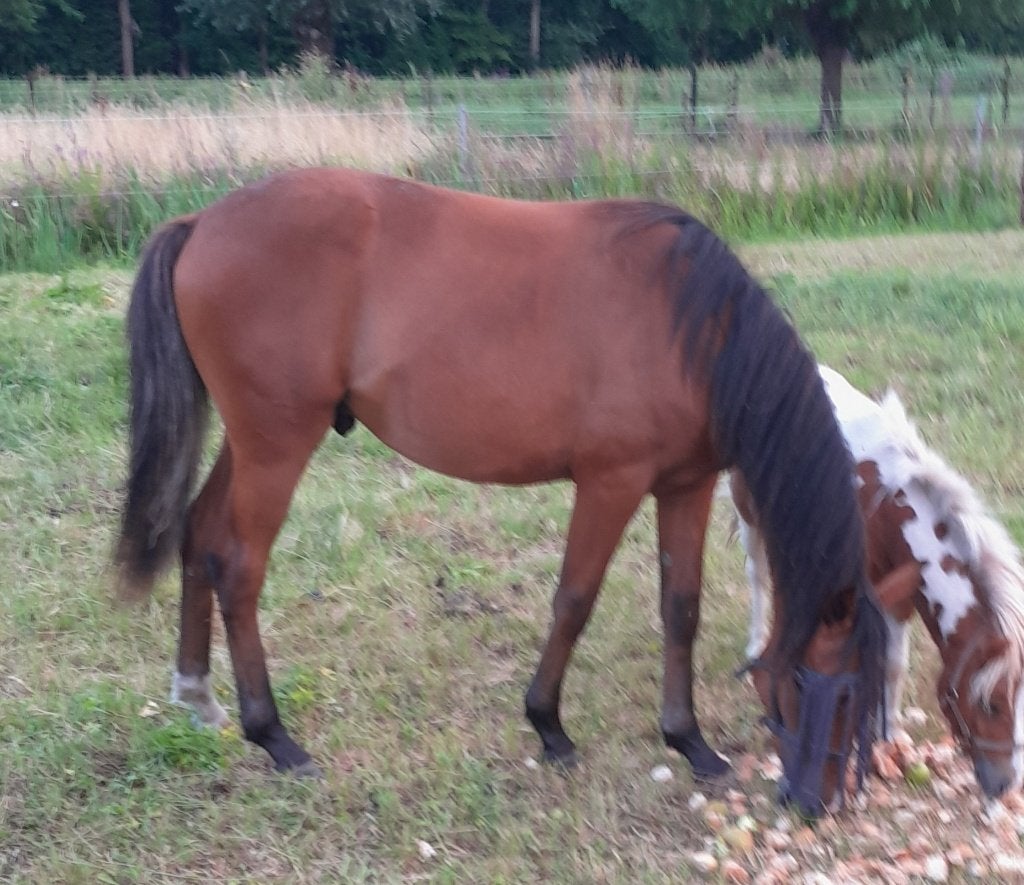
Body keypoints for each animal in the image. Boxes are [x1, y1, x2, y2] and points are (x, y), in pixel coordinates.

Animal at [115, 167, 887, 816]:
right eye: (830, 684)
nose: (817, 803)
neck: (693, 328)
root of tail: (201, 222)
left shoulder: (685, 485)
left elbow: (681, 608)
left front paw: (690, 741)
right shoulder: (611, 481)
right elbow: (575, 599)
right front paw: (549, 725)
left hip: (250, 442)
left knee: (200, 534)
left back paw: (197, 696)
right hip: (276, 444)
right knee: (240, 566)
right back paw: (273, 735)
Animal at [733, 364, 1024, 799]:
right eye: (990, 704)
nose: (1005, 784)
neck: (887, 505)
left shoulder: (903, 594)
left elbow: (895, 665)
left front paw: (891, 733)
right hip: (748, 509)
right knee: (756, 574)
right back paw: (754, 644)